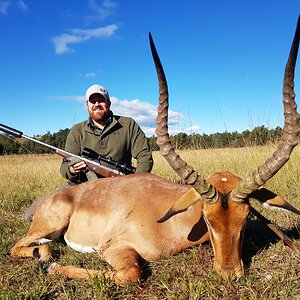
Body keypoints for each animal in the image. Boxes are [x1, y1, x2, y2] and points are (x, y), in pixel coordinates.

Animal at [9, 17, 300, 284]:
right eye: (207, 219)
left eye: (246, 217)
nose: (229, 274)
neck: (170, 220)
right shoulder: (113, 247)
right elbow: (132, 273)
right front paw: (53, 268)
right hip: (49, 225)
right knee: (19, 246)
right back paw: (44, 259)